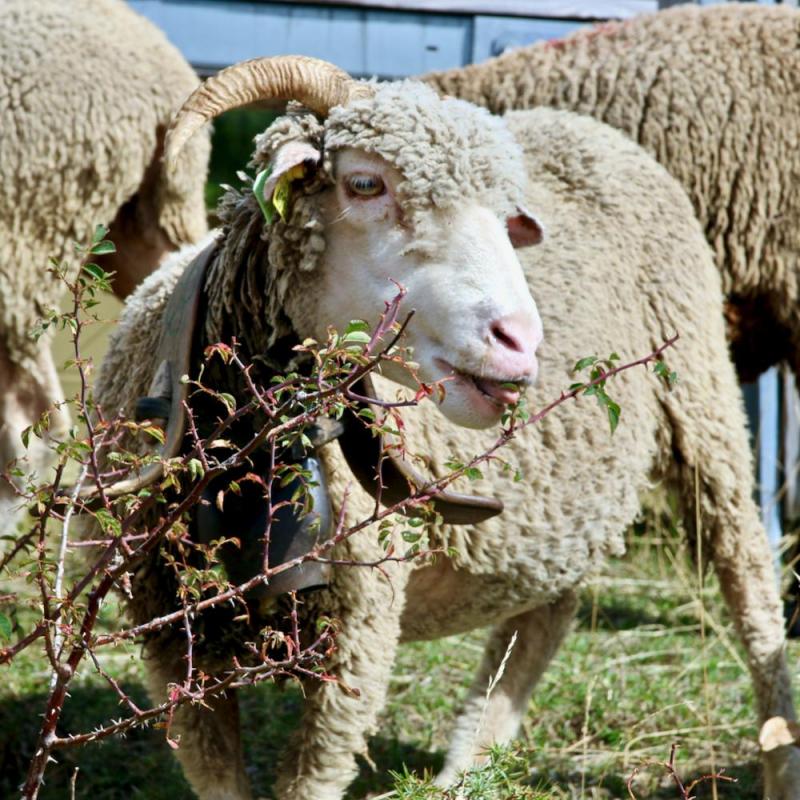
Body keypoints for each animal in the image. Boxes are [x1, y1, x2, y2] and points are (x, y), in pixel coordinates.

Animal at [94, 57, 800, 800]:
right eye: (364, 183)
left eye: (504, 219)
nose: (520, 342)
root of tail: (585, 128)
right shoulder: (166, 635)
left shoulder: (357, 638)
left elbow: (310, 780)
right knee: (545, 611)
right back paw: (466, 767)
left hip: (706, 404)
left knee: (751, 593)